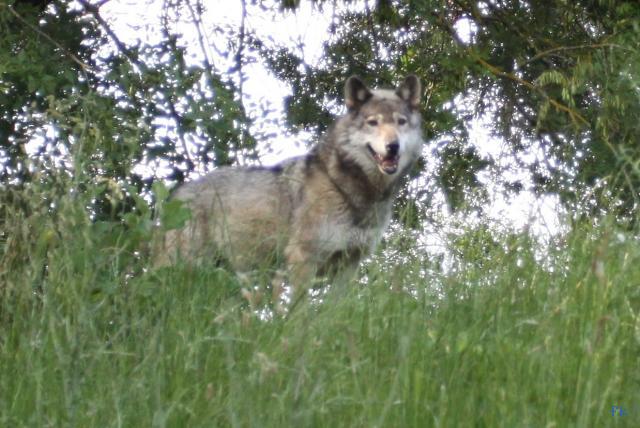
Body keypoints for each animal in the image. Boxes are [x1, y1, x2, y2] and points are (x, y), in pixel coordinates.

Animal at [155, 75, 424, 296]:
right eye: (373, 122)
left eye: (400, 122)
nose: (393, 146)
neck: (349, 189)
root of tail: (176, 193)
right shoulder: (302, 259)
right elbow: (299, 313)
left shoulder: (348, 265)